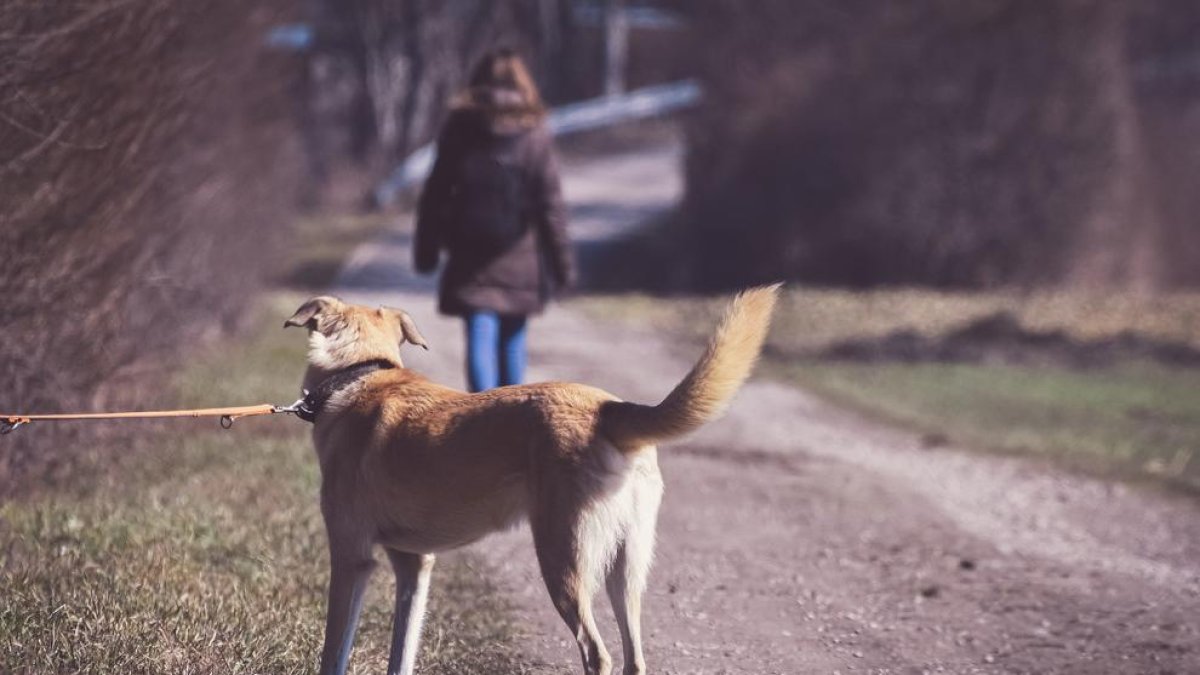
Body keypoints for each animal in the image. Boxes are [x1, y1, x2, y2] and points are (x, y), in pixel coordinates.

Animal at [285, 283, 782, 672]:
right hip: (625, 569)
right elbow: (402, 650)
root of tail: (608, 409)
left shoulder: (351, 558)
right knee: (634, 657)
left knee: (597, 652)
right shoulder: (415, 564)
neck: (360, 375)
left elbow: (334, 652)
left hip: (564, 560)